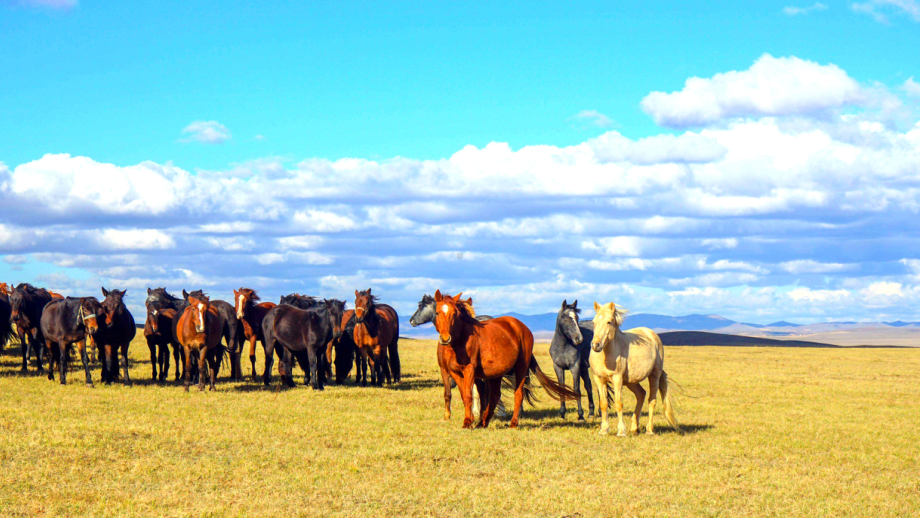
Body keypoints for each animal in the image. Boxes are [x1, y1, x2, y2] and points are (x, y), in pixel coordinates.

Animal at [430, 292, 576, 430]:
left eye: (454, 314)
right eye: (437, 313)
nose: (445, 338)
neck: (461, 340)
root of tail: (522, 327)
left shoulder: (469, 370)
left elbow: (468, 395)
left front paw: (467, 422)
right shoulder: (453, 372)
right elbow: (464, 395)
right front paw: (470, 420)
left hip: (520, 368)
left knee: (518, 394)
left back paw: (513, 423)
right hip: (495, 373)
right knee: (494, 396)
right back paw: (482, 423)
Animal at [588, 302, 684, 436]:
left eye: (609, 322)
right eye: (594, 322)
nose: (595, 345)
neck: (606, 355)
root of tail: (652, 335)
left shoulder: (617, 379)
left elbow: (619, 404)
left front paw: (621, 431)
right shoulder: (599, 379)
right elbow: (603, 404)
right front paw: (603, 430)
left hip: (654, 375)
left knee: (652, 400)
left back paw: (649, 430)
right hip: (631, 382)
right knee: (641, 394)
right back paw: (634, 428)